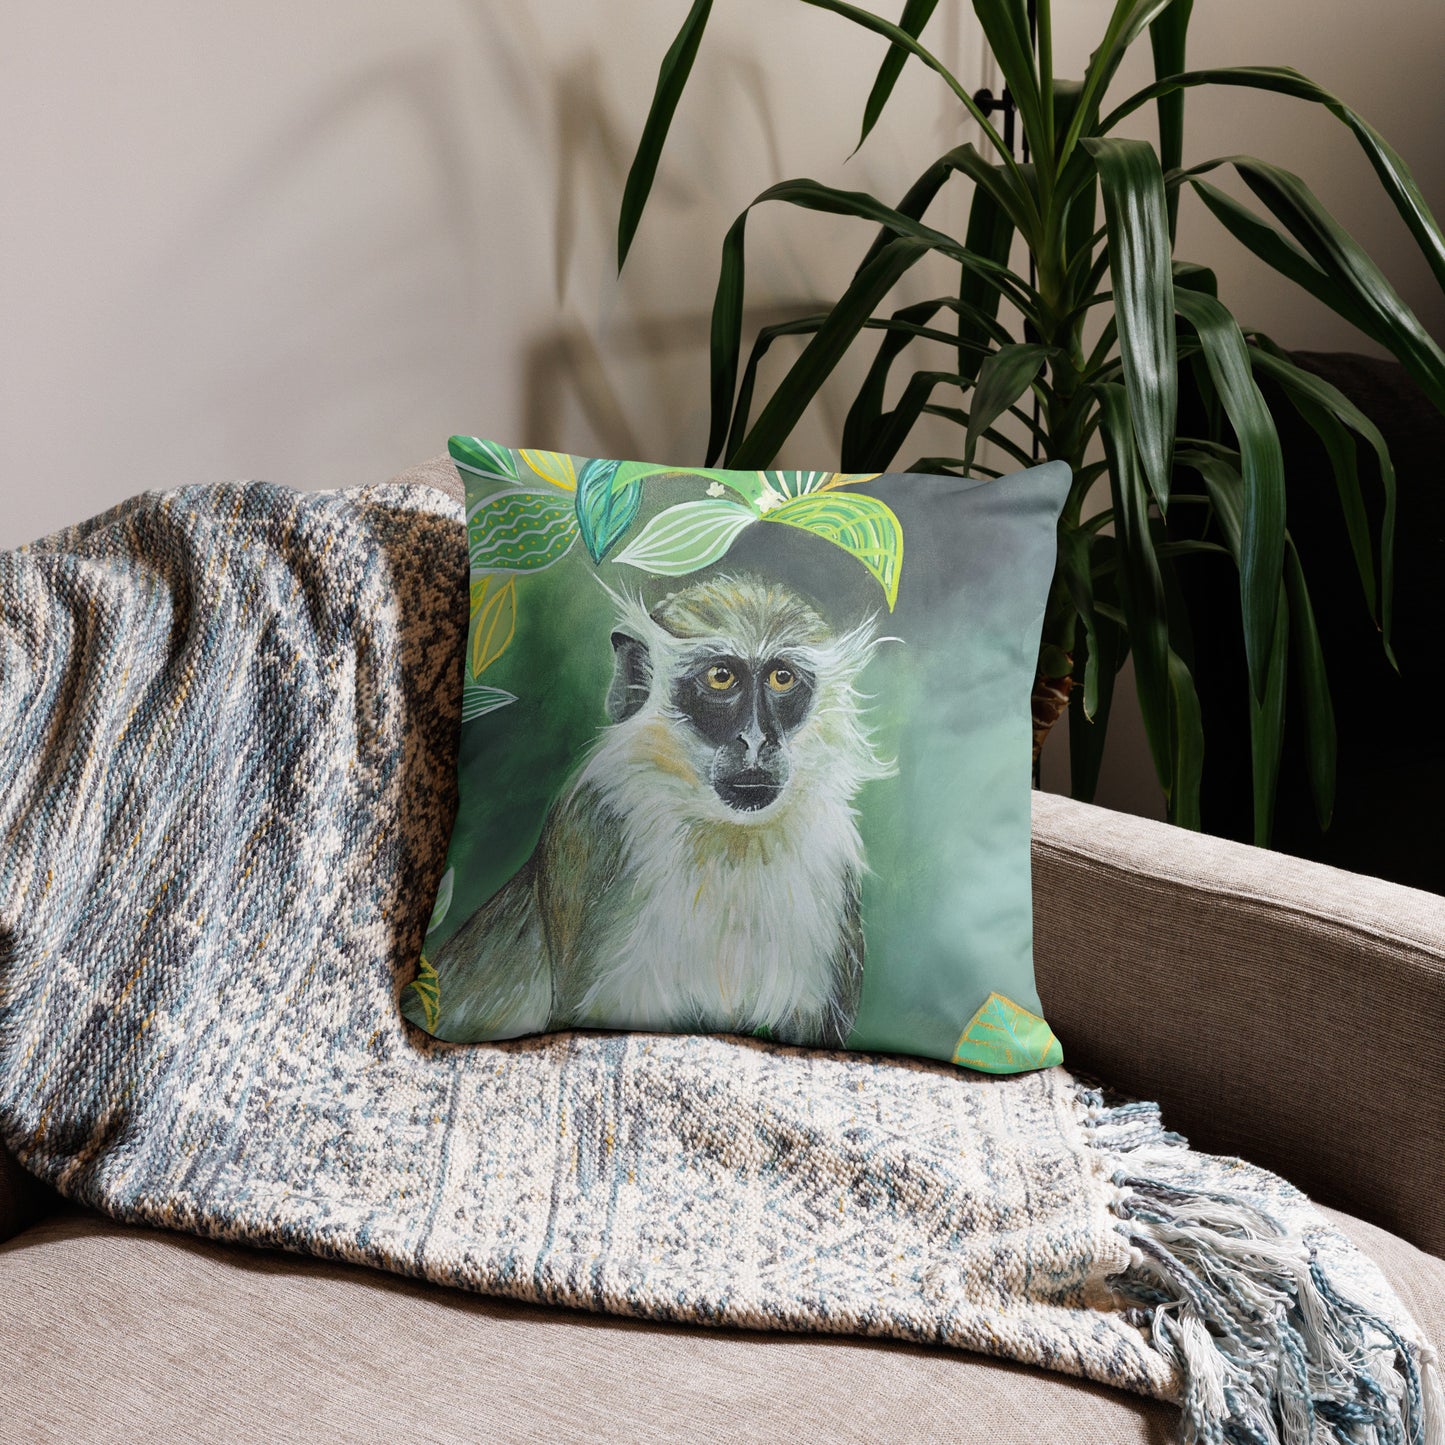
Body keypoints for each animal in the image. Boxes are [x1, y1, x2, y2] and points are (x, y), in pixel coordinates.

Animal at [420, 573, 891, 1048]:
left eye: (781, 678)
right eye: (721, 677)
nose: (757, 740)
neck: (727, 835)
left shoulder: (831, 865)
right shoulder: (599, 826)